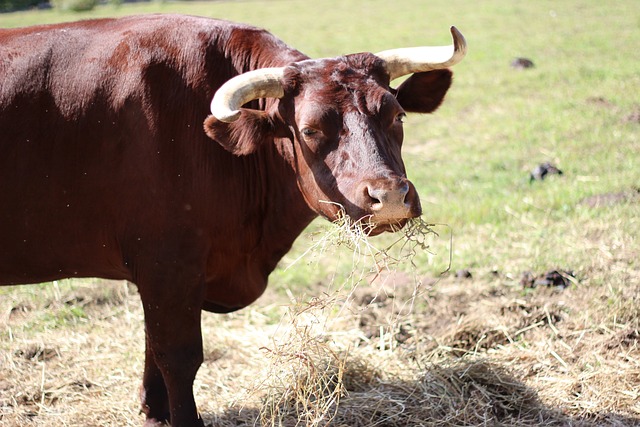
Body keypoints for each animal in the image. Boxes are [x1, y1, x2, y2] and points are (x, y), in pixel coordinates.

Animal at [0, 15, 462, 426]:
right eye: (310, 130)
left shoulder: (160, 274)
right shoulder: (168, 264)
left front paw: (154, 413)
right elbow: (178, 357)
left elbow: (154, 348)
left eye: (397, 115)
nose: (390, 197)